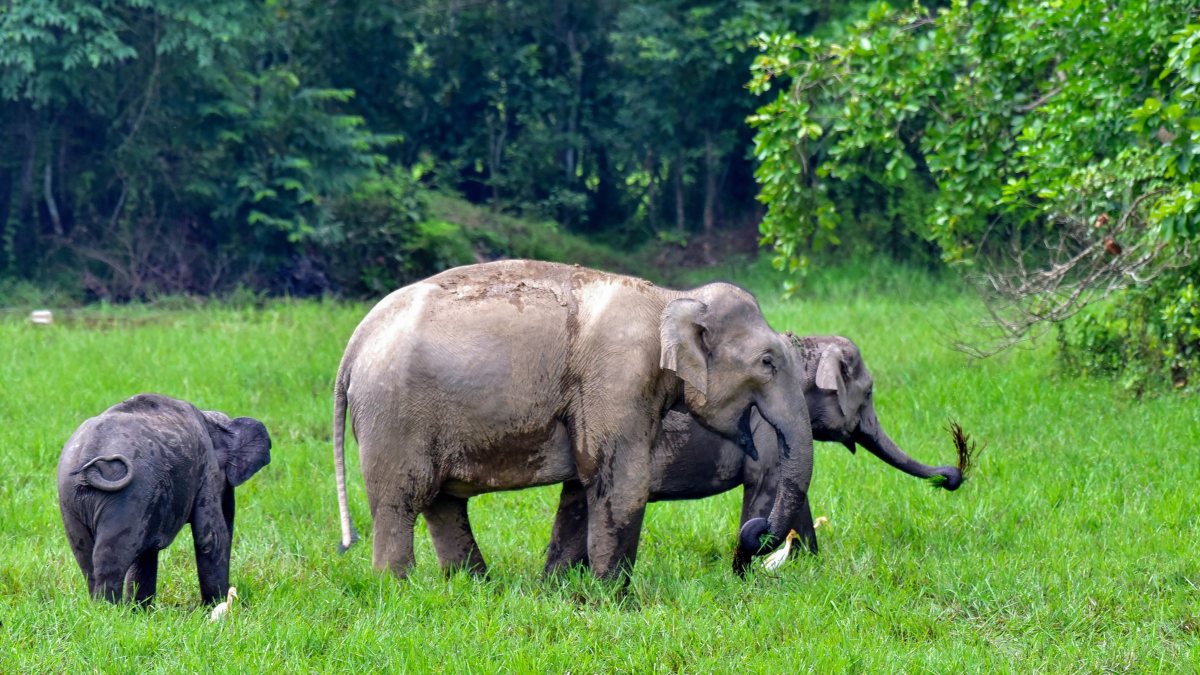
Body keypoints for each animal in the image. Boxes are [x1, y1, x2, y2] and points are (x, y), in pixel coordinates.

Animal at [57, 393, 271, 605]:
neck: (211, 420)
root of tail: (89, 456)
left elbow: (146, 553)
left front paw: (141, 610)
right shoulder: (207, 469)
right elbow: (210, 538)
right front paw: (215, 606)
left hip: (70, 499)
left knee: (86, 557)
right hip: (128, 497)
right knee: (110, 557)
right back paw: (108, 609)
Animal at [332, 259, 815, 581]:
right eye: (768, 362)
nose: (756, 534)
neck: (671, 298)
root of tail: (354, 342)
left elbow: (584, 484)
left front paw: (559, 589)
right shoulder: (617, 378)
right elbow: (622, 482)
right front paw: (617, 601)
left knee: (443, 502)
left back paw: (474, 587)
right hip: (394, 416)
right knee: (400, 502)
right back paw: (398, 588)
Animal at [543, 335, 963, 575]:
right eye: (871, 392)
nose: (951, 476)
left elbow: (793, 496)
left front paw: (808, 566)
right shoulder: (765, 427)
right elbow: (766, 488)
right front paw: (743, 575)